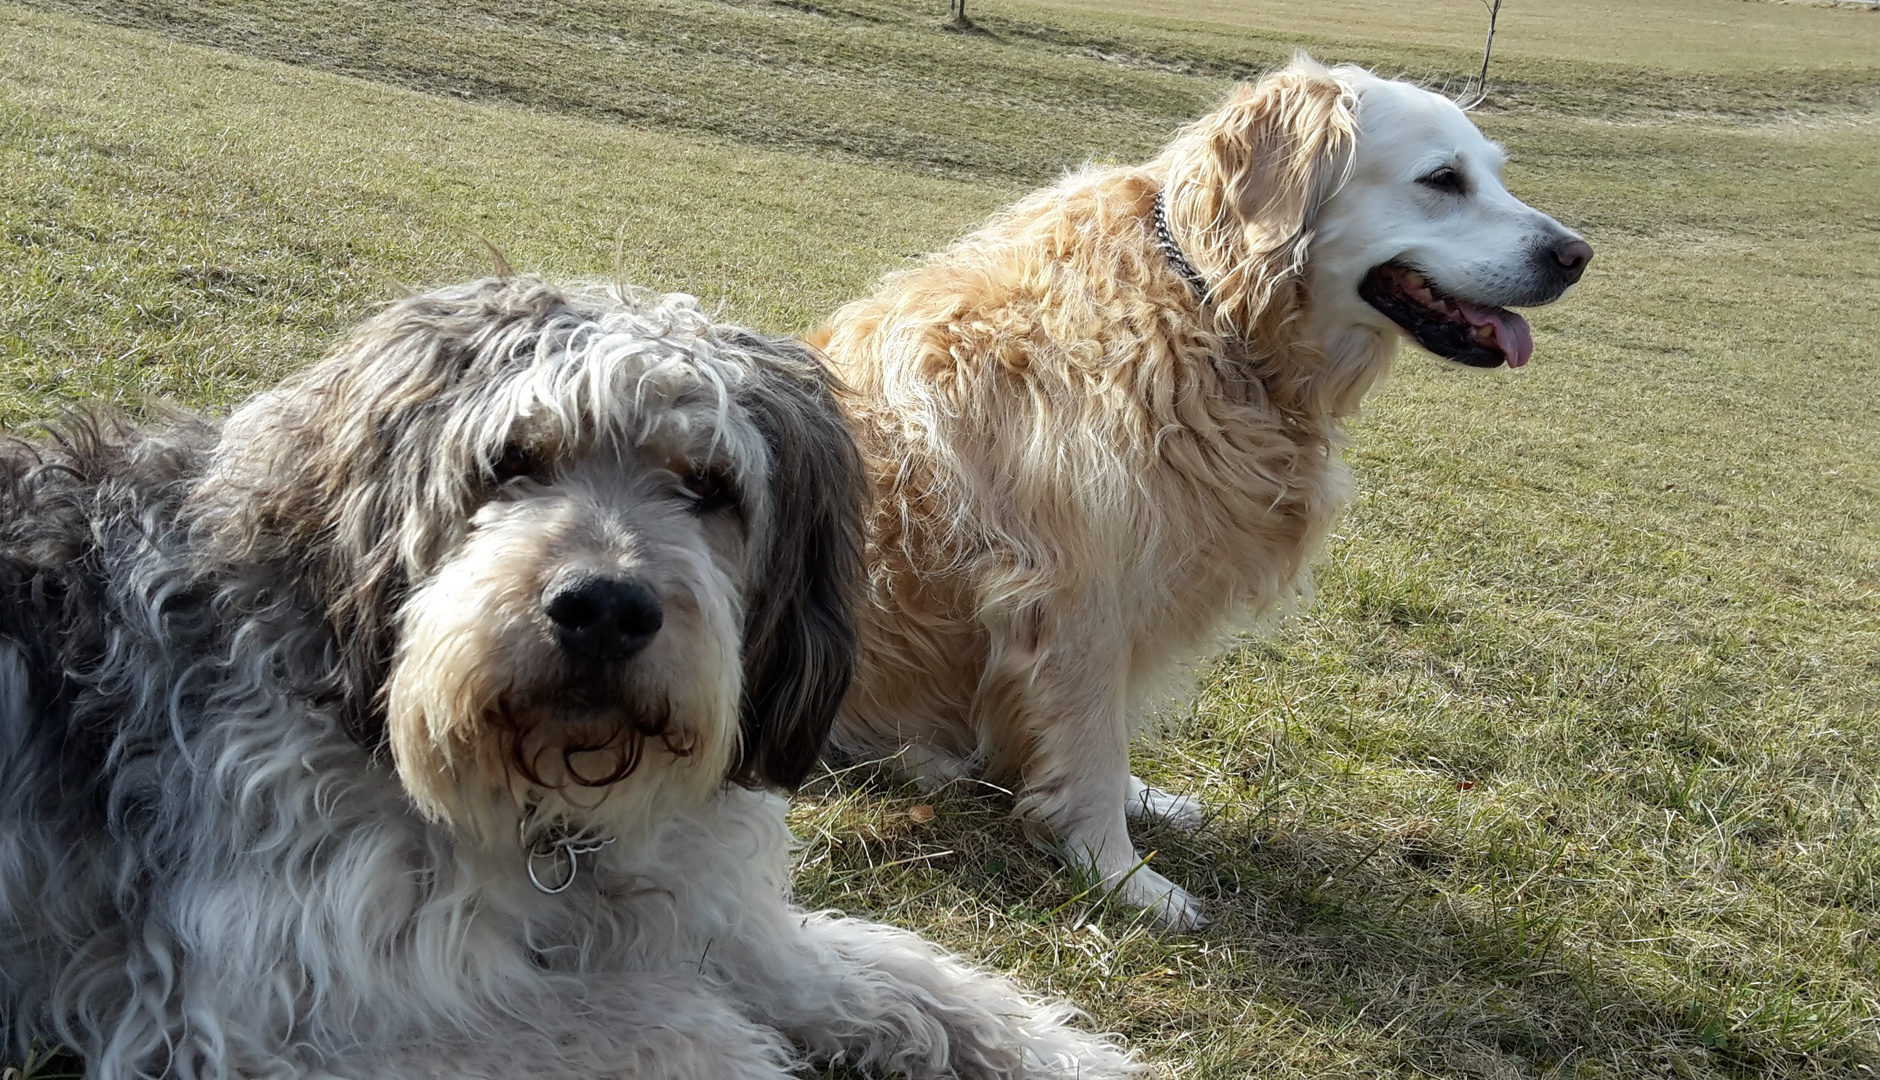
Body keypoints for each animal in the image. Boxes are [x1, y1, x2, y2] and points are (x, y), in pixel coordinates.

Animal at [0, 276, 1135, 1080]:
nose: (603, 609)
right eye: (512, 461)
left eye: (709, 486)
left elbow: (889, 972)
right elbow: (695, 1034)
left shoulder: (705, 919)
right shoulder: (260, 1014)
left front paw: (1061, 1051)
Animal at [815, 55, 1594, 933]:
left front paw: (1137, 802)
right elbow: (1090, 746)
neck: (1208, 309)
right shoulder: (1076, 598)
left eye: (1493, 173)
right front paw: (1119, 873)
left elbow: (1097, 740)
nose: (1577, 255)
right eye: (1443, 179)